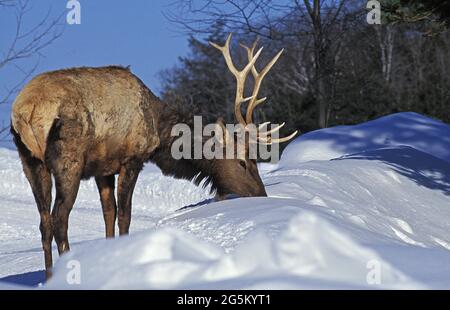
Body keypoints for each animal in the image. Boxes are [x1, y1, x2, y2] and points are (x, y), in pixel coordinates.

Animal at [10, 32, 298, 278]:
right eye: (243, 162)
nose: (262, 195)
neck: (160, 129)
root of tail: (27, 111)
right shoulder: (132, 159)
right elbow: (124, 215)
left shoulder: (104, 169)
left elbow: (109, 214)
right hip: (69, 160)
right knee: (59, 219)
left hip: (32, 163)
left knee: (44, 222)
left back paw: (49, 276)